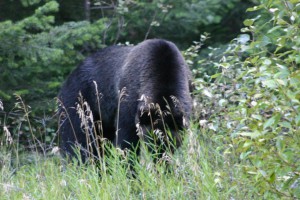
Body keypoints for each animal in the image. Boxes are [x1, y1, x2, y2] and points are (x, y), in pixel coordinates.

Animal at [58, 38, 192, 161]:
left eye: (171, 141)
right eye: (150, 140)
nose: (159, 154)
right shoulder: (130, 97)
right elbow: (127, 139)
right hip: (80, 100)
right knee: (78, 138)